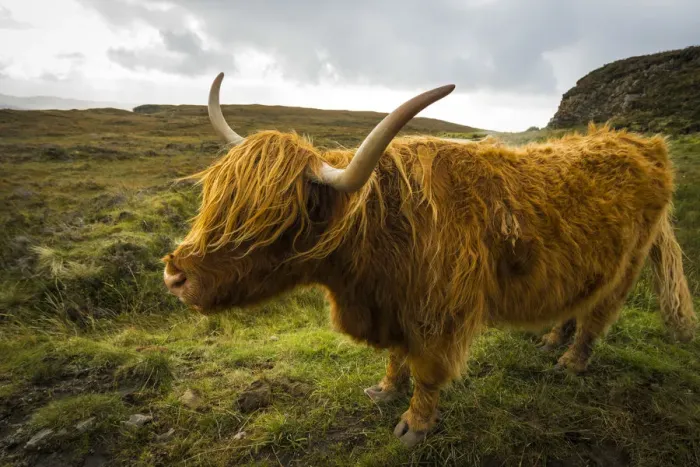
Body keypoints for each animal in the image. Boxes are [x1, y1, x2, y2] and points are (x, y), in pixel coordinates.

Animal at [163, 72, 696, 447]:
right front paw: (384, 390)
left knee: (598, 315)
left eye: (271, 221)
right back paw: (550, 340)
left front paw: (414, 426)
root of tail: (644, 143)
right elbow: (397, 356)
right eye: (213, 200)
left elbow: (427, 370)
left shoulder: (438, 311)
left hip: (627, 263)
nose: (174, 275)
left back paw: (570, 360)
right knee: (576, 301)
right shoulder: (395, 304)